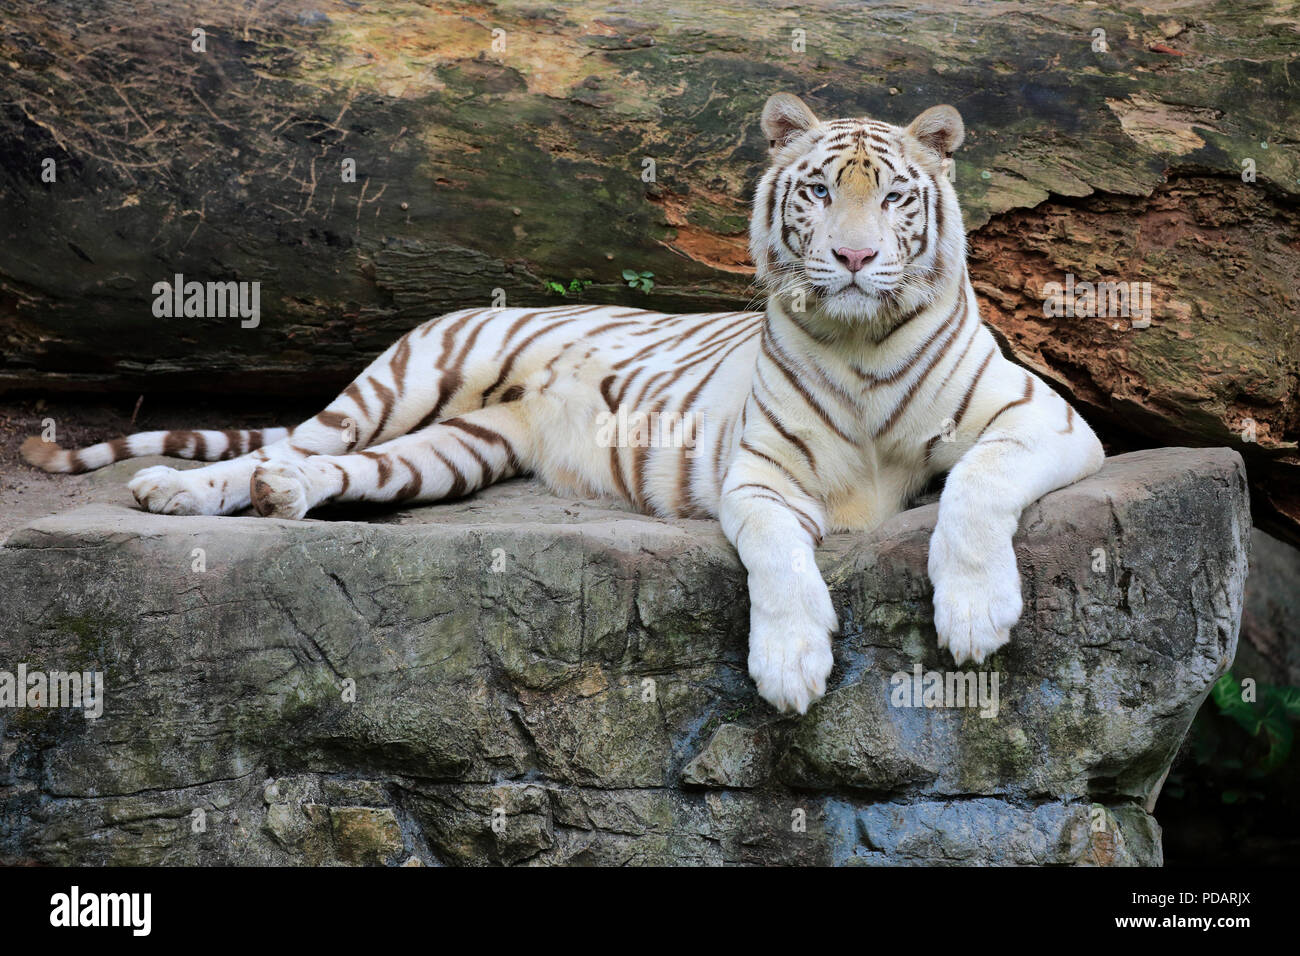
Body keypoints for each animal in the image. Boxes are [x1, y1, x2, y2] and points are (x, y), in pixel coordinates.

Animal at [22, 93, 1097, 712]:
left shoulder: (1044, 419)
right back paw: (176, 492)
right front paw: (791, 666)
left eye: (897, 199)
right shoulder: (759, 479)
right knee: (275, 446)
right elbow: (779, 562)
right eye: (821, 193)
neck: (862, 341)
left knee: (327, 471)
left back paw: (282, 498)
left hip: (449, 452)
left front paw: (972, 616)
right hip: (402, 383)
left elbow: (975, 488)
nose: (858, 258)